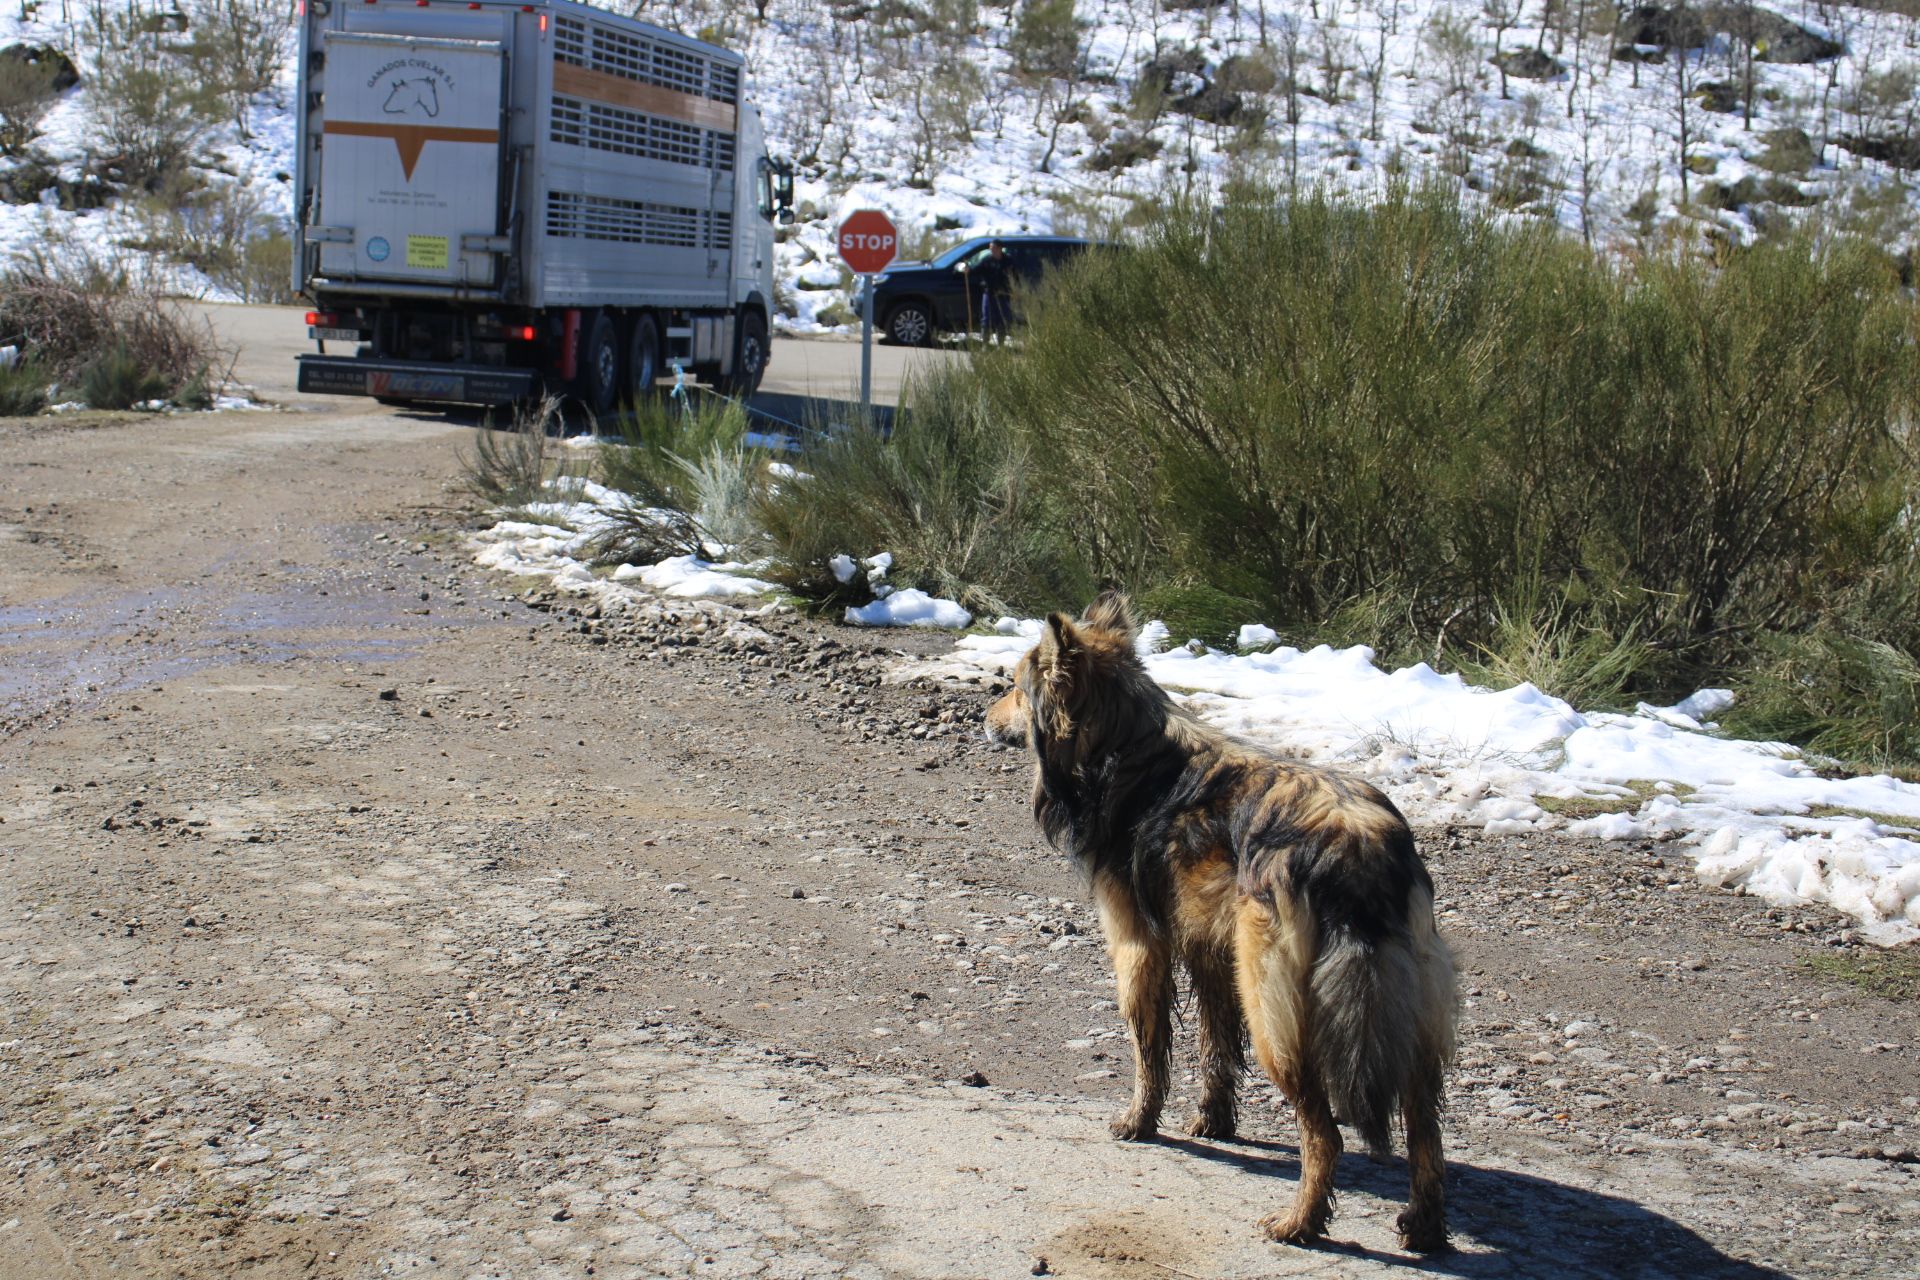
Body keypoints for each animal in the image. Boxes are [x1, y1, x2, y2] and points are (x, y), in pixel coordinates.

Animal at [990, 594, 1451, 1258]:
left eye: (1016, 687)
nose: (984, 712)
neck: (1122, 746)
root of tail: (1358, 845)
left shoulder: (1139, 945)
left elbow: (1149, 1047)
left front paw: (1139, 1122)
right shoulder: (1210, 952)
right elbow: (1214, 1047)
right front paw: (1214, 1121)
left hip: (1276, 1013)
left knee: (1326, 1133)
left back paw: (1300, 1224)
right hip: (1402, 1013)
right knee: (1424, 1127)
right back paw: (1426, 1226)